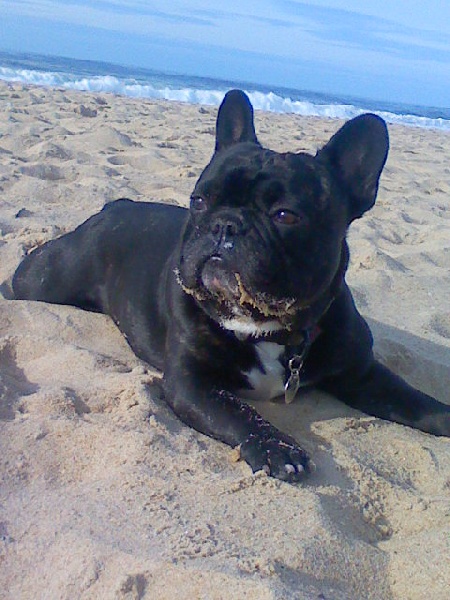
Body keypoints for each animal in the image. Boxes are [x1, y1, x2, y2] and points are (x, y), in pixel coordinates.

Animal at [12, 90, 450, 482]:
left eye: (285, 215)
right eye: (199, 200)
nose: (225, 224)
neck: (271, 330)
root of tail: (114, 205)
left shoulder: (363, 374)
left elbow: (415, 400)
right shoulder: (192, 382)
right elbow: (238, 413)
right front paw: (277, 448)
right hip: (44, 278)